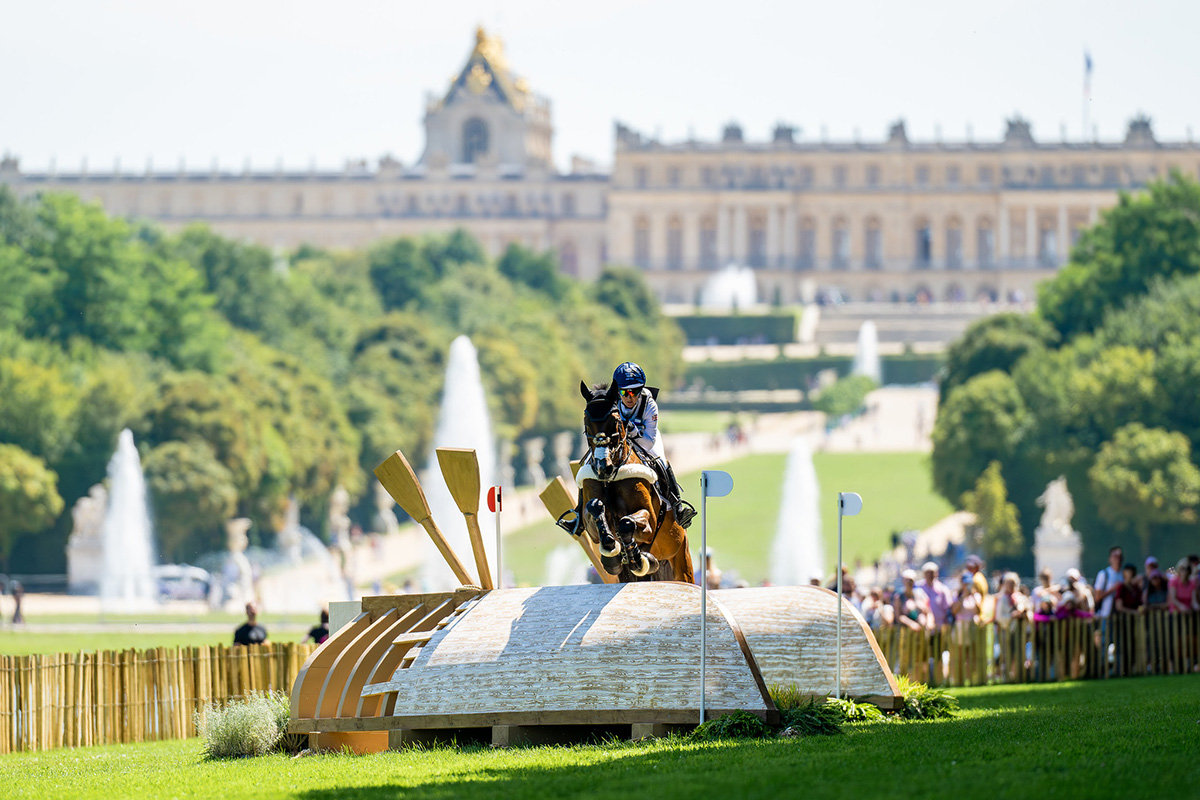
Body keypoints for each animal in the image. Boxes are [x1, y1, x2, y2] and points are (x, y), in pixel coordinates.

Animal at [571, 381, 696, 582]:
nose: (603, 467)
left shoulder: (650, 520)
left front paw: (637, 558)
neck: (610, 479)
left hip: (681, 562)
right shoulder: (590, 525)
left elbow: (627, 522)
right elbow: (595, 508)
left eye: (615, 421)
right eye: (586, 421)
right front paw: (611, 551)